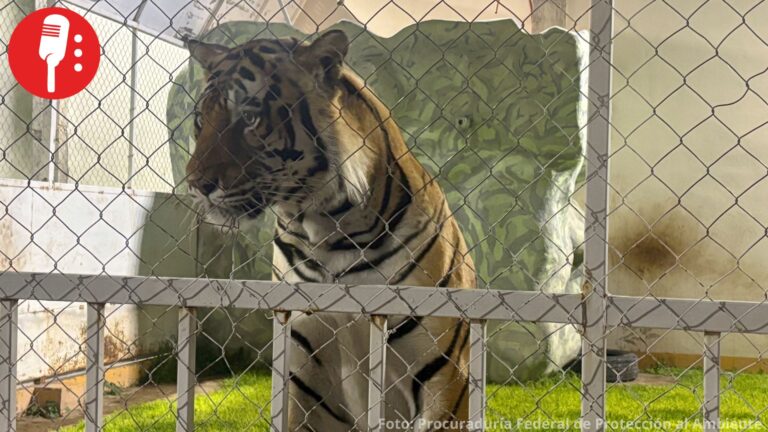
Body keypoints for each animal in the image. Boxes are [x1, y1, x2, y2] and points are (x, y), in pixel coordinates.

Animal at [185, 29, 477, 432]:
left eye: (249, 116)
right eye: (201, 118)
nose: (195, 184)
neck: (330, 231)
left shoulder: (442, 374)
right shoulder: (303, 365)